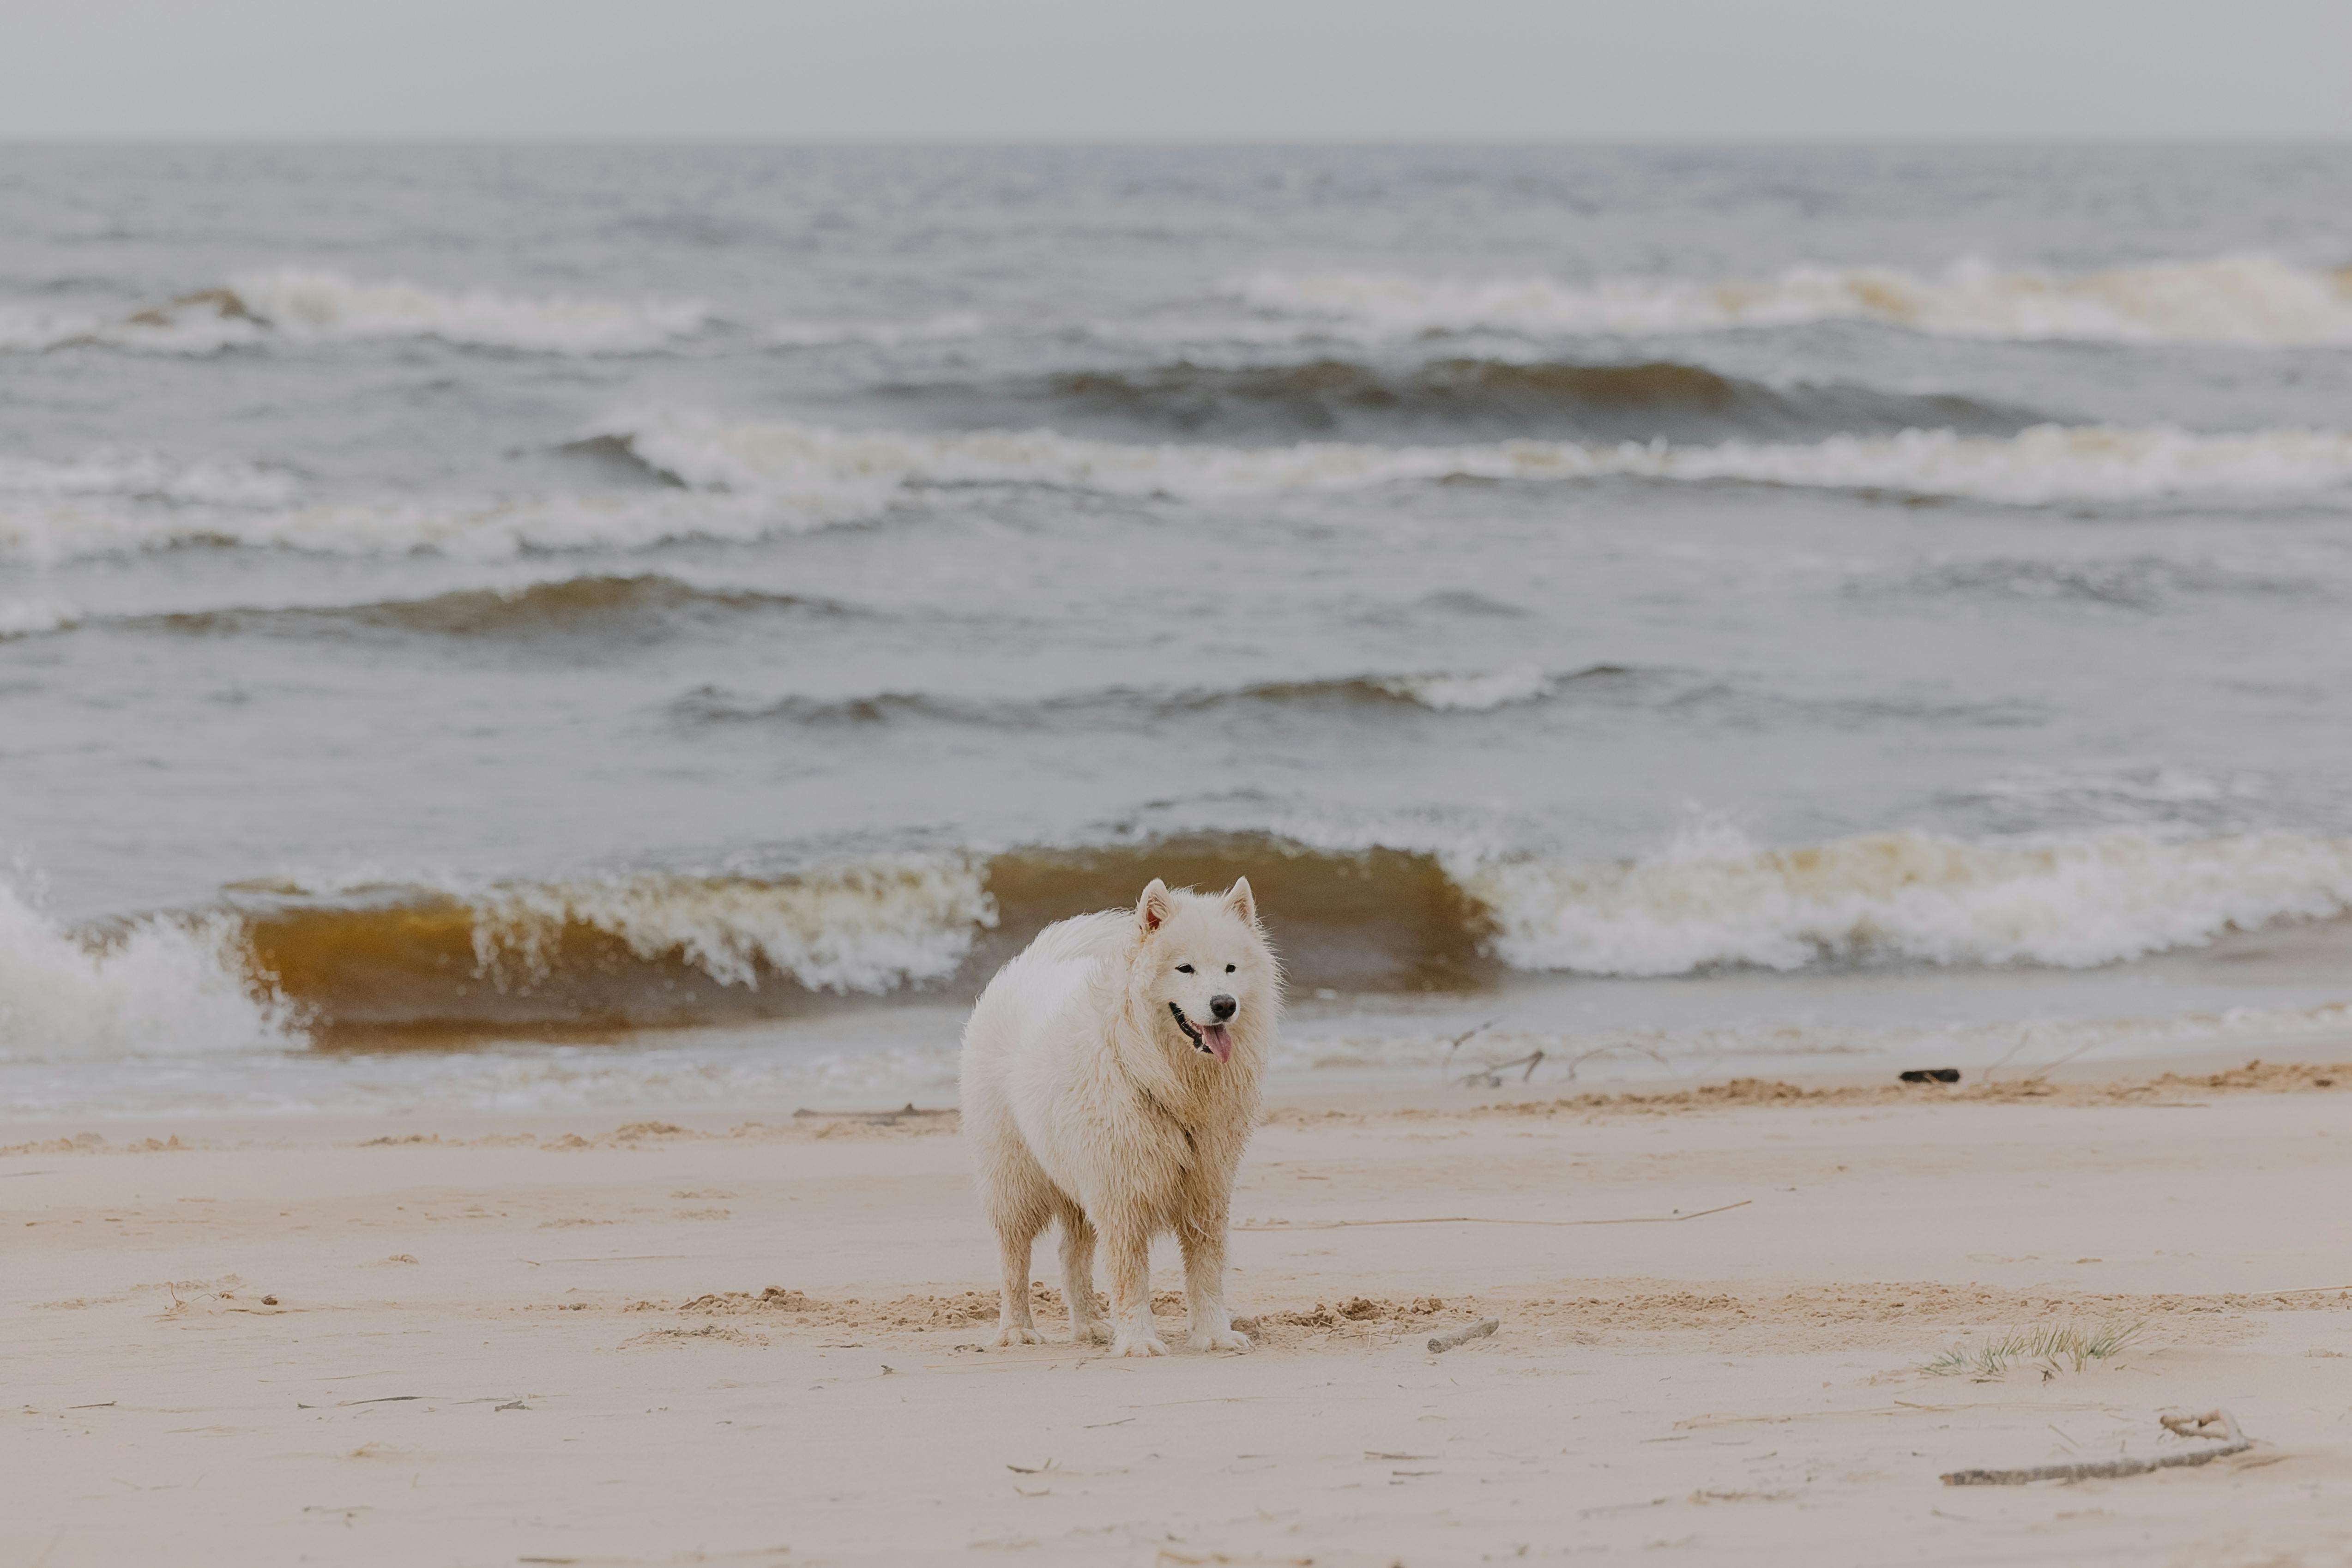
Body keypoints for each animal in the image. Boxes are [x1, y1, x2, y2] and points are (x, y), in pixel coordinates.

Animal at [959, 879, 1279, 1354]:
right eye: (1185, 969)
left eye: (1231, 968)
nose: (1224, 1004)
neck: (1167, 1079)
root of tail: (1030, 964)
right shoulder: (1121, 1192)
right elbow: (1130, 1277)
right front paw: (1140, 1341)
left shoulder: (1206, 1189)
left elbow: (1206, 1272)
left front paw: (1215, 1337)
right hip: (1015, 1178)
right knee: (1014, 1257)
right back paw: (1017, 1331)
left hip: (1075, 1177)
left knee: (1071, 1255)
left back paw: (1090, 1326)